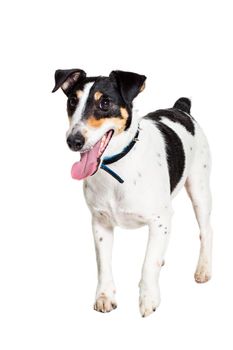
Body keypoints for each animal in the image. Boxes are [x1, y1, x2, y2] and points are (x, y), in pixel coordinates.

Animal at [52, 68, 213, 318]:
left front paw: (149, 299)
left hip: (200, 189)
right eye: (72, 101)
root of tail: (180, 108)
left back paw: (203, 269)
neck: (118, 166)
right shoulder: (100, 223)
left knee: (206, 231)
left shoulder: (160, 220)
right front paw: (104, 296)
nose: (73, 141)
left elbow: (148, 264)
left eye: (105, 103)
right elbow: (103, 264)